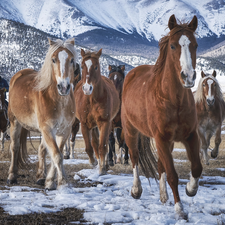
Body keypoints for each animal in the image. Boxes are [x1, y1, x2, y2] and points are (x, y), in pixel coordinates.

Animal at [7, 37, 77, 190]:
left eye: (72, 60)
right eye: (53, 59)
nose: (64, 87)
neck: (59, 100)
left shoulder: (64, 131)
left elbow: (57, 154)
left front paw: (50, 181)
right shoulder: (48, 128)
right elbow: (57, 155)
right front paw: (62, 183)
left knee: (41, 149)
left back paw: (40, 177)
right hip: (14, 121)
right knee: (14, 147)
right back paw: (12, 176)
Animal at [74, 48, 120, 176]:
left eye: (96, 67)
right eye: (82, 66)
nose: (87, 88)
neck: (92, 99)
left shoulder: (104, 123)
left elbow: (102, 146)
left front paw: (102, 169)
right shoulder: (84, 124)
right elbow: (89, 147)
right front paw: (94, 162)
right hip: (93, 126)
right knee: (94, 143)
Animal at [120, 14, 203, 219]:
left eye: (195, 45)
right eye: (173, 46)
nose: (188, 77)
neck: (174, 100)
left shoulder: (190, 136)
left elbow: (196, 167)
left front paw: (191, 189)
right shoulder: (161, 138)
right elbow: (173, 174)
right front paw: (180, 209)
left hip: (167, 141)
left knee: (159, 165)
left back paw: (164, 196)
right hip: (131, 131)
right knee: (134, 157)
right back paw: (136, 190)